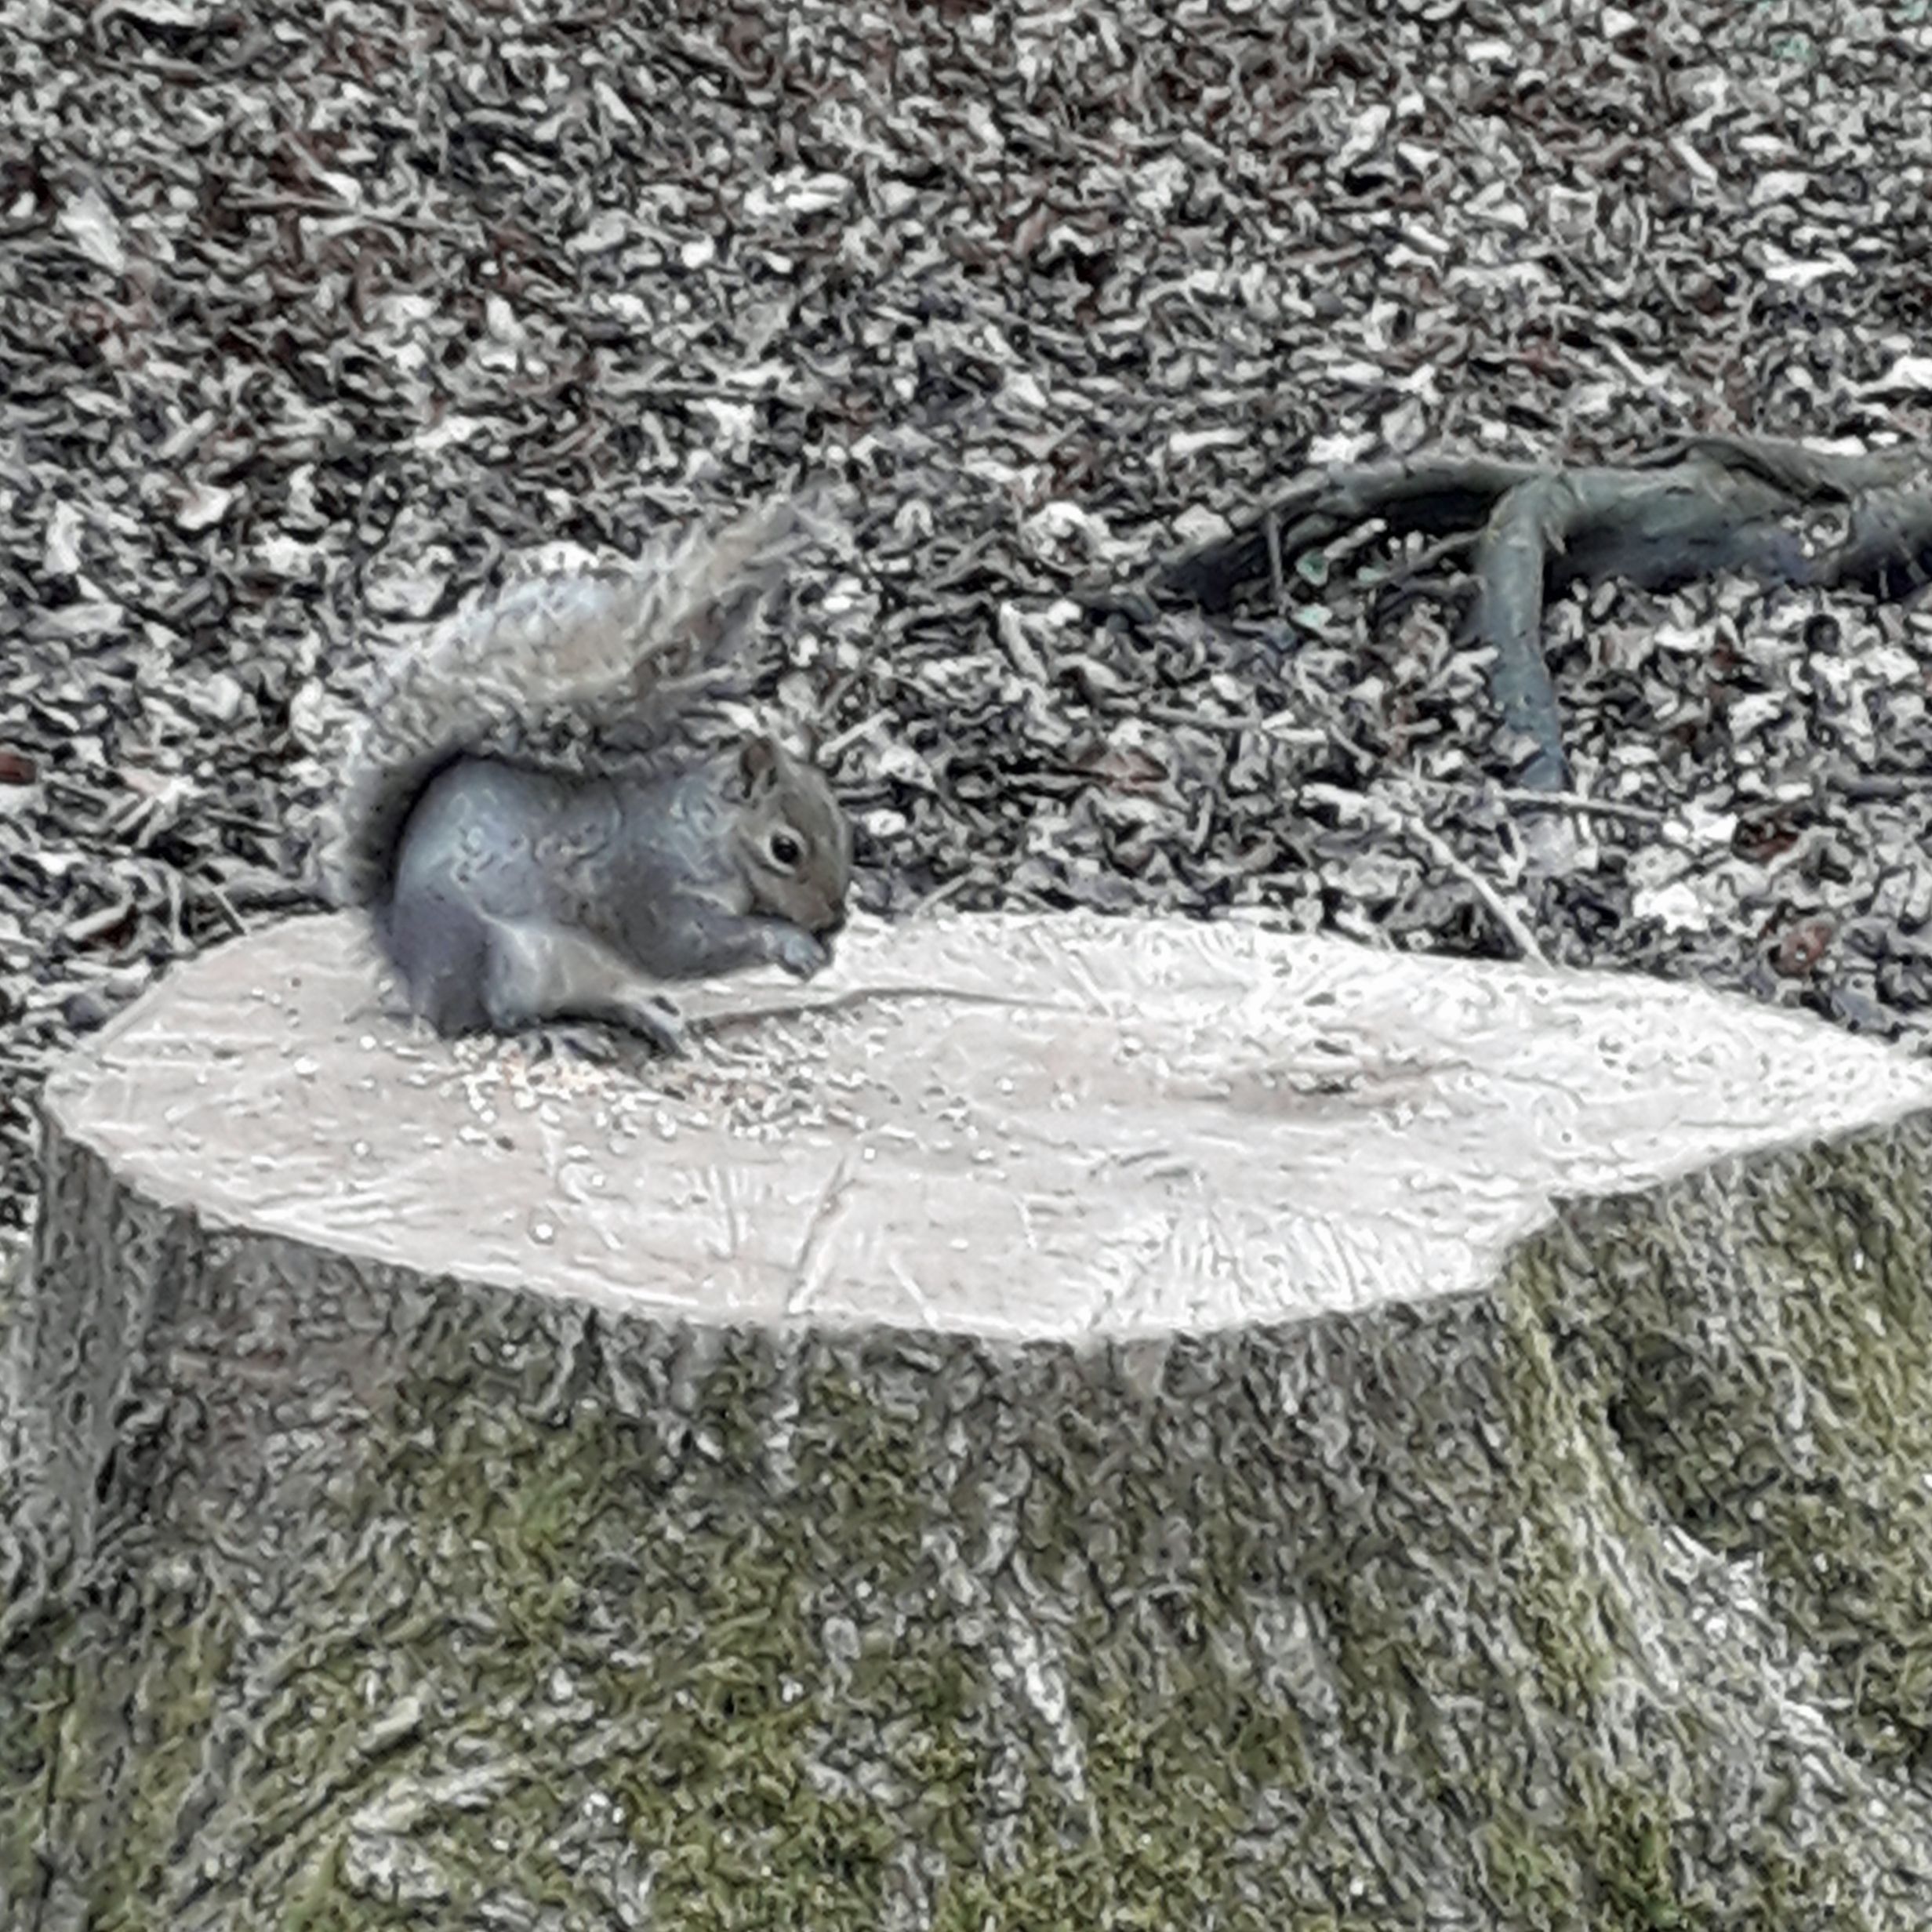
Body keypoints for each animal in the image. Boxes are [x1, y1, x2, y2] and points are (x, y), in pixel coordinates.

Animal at [320, 493, 855, 1054]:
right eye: (785, 849)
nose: (834, 920)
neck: (705, 830)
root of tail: (412, 970)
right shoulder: (651, 888)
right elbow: (685, 946)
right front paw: (790, 942)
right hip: (506, 957)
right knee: (500, 1018)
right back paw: (561, 1032)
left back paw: (647, 1015)